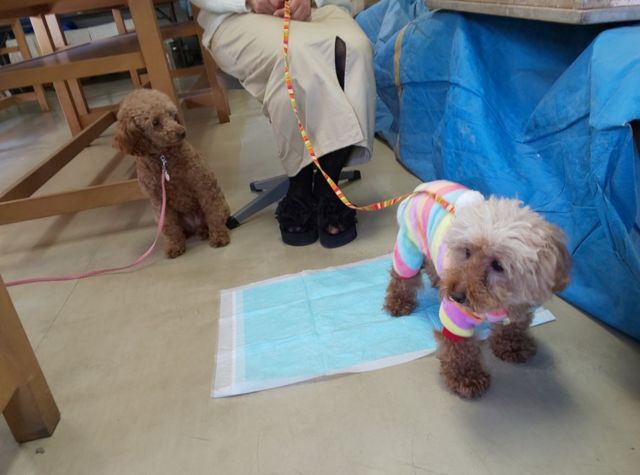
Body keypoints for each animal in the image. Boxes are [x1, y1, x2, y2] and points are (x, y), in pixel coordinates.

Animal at [113, 89, 230, 258]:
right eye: (155, 122)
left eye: (172, 114)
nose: (182, 132)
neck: (164, 159)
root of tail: (194, 224)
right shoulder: (159, 200)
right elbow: (170, 226)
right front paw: (175, 246)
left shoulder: (203, 185)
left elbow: (213, 211)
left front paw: (219, 236)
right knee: (179, 228)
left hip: (219, 205)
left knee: (214, 215)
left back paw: (206, 231)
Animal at [384, 180, 571, 398]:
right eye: (467, 251)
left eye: (498, 265)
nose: (455, 296)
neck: (500, 302)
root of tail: (424, 187)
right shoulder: (456, 316)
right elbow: (459, 348)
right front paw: (465, 377)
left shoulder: (521, 309)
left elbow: (512, 328)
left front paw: (512, 346)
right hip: (409, 246)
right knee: (402, 276)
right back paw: (399, 301)